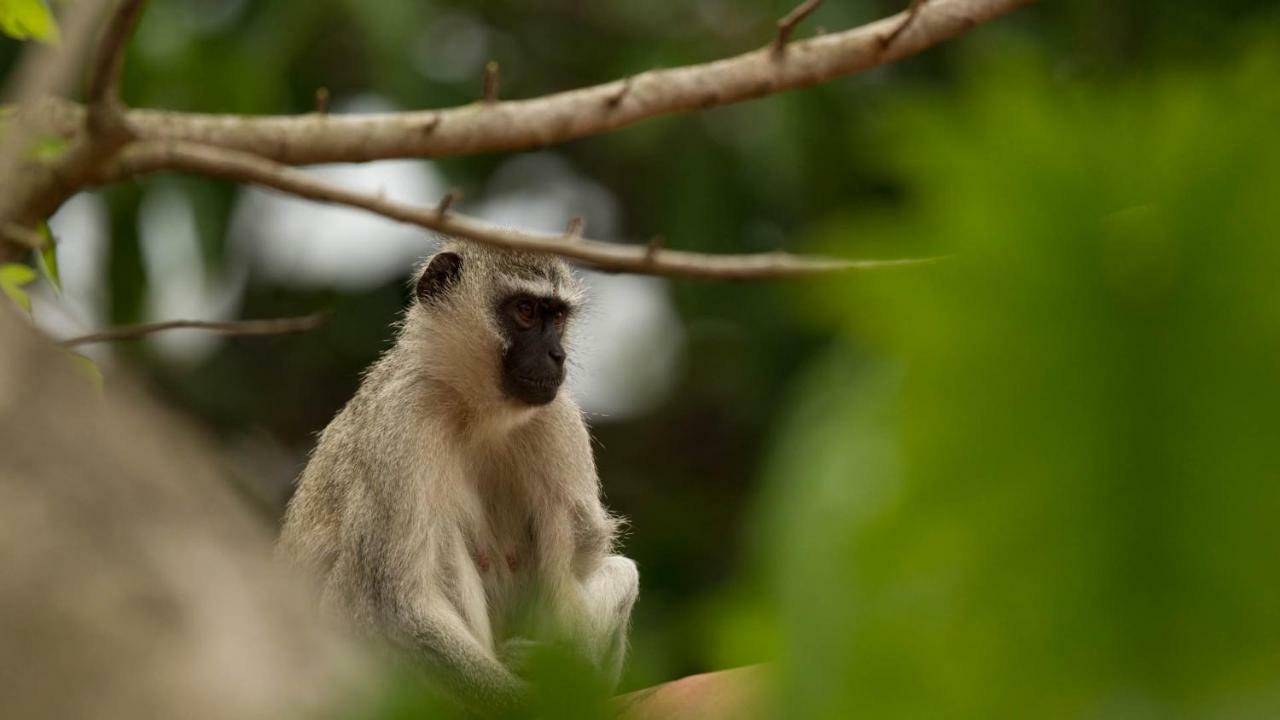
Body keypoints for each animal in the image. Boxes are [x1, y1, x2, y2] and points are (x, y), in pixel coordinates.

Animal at [280, 238, 640, 702]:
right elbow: (401, 607)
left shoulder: (557, 421)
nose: (557, 355)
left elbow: (576, 566)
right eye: (525, 310)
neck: (475, 412)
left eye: (557, 316)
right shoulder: (404, 416)